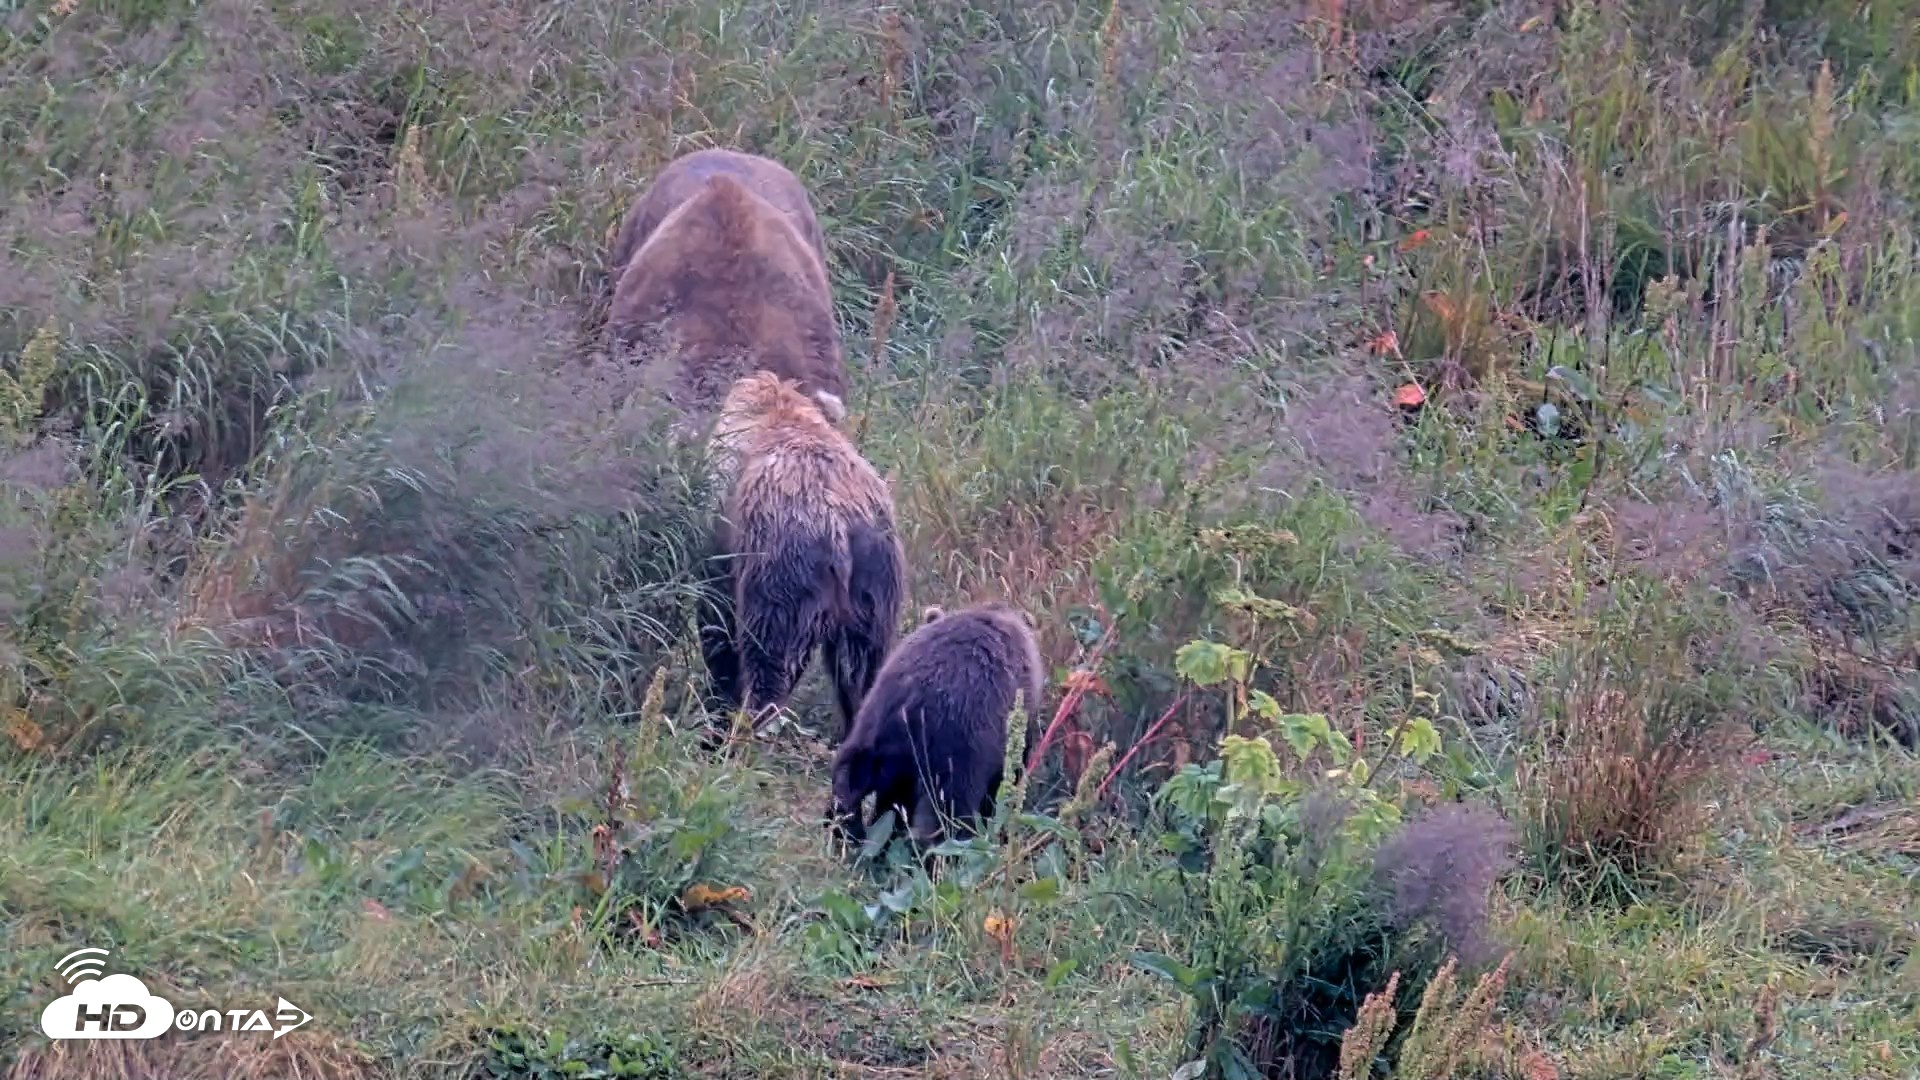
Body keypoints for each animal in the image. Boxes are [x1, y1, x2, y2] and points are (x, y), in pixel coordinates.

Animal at [698, 370, 904, 741]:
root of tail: (838, 524)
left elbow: (715, 619)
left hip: (783, 568)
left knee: (769, 660)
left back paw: (746, 731)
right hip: (875, 575)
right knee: (861, 670)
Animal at [827, 599, 1048, 854]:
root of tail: (910, 704)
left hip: (873, 727)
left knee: (850, 777)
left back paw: (850, 828)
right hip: (957, 751)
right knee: (946, 815)